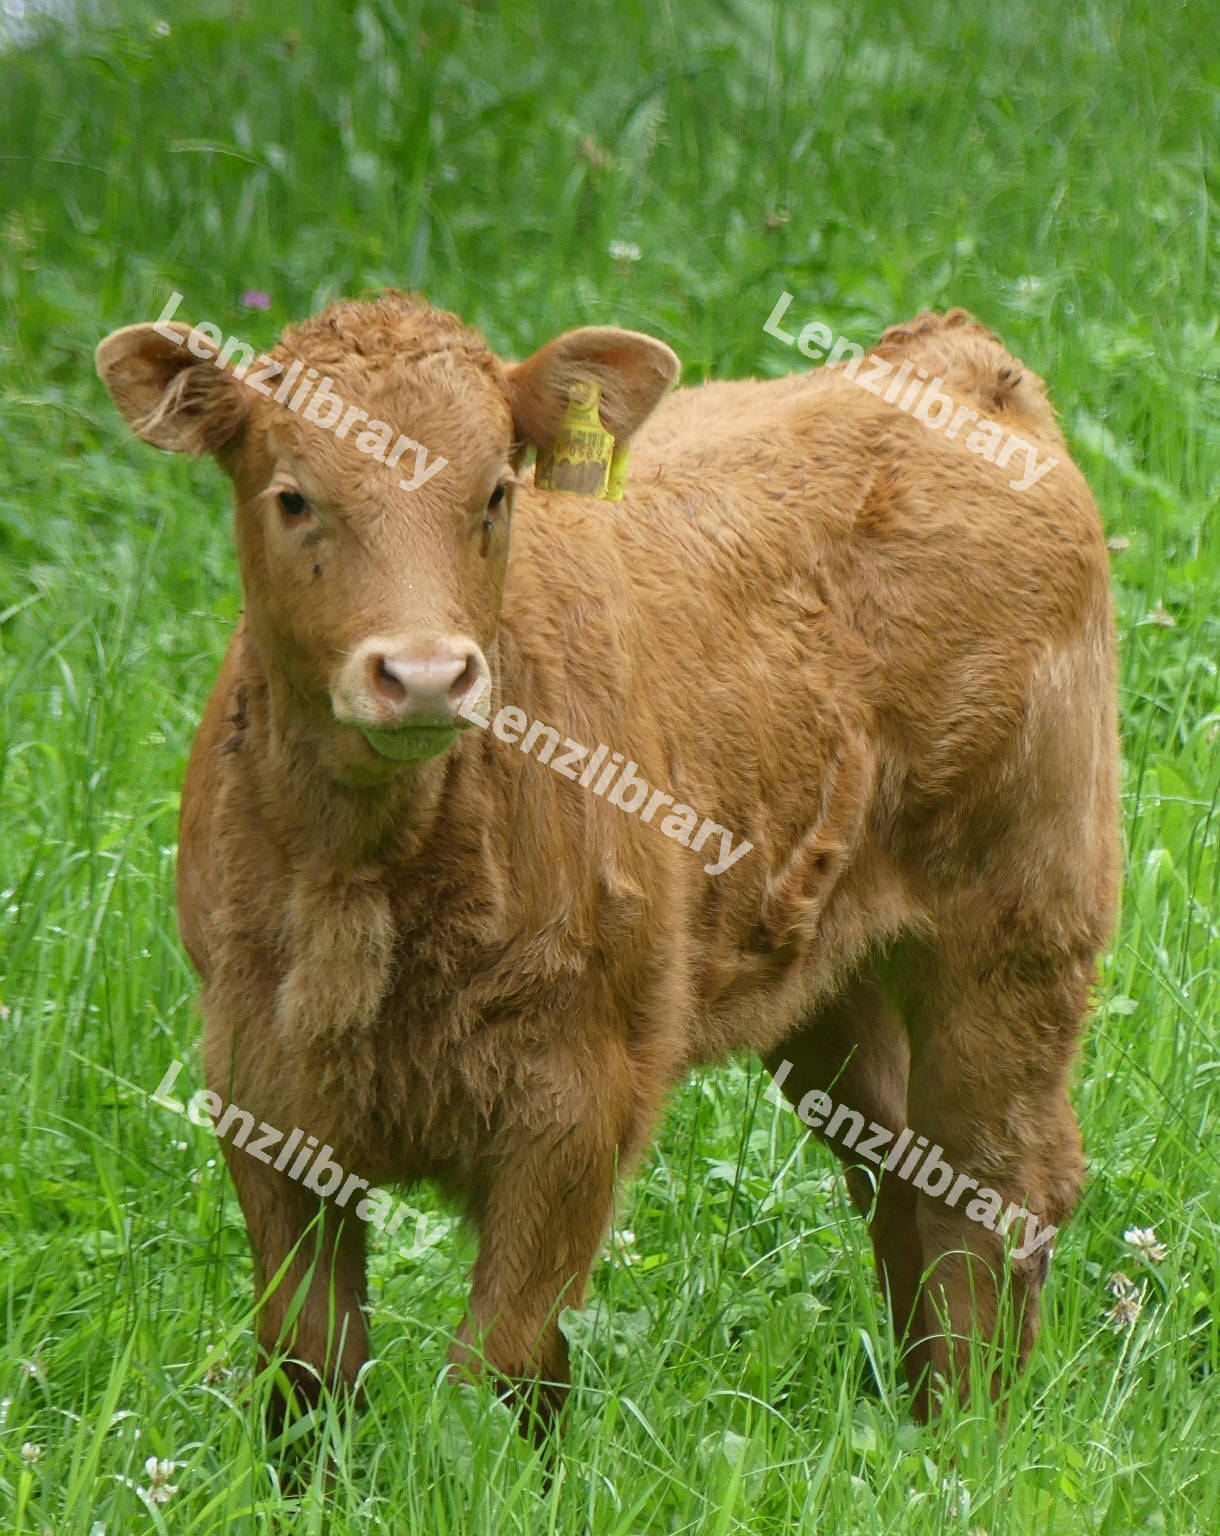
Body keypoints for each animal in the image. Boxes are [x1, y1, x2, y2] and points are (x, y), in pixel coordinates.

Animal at [96, 294, 1119, 1437]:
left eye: (495, 493)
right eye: (292, 496)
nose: (424, 674)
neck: (367, 876)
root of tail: (948, 359)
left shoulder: (578, 1095)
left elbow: (499, 1366)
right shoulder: (260, 1087)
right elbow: (309, 1363)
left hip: (1018, 930)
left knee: (990, 1181)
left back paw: (970, 1431)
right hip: (833, 983)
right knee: (900, 1176)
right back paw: (917, 1417)